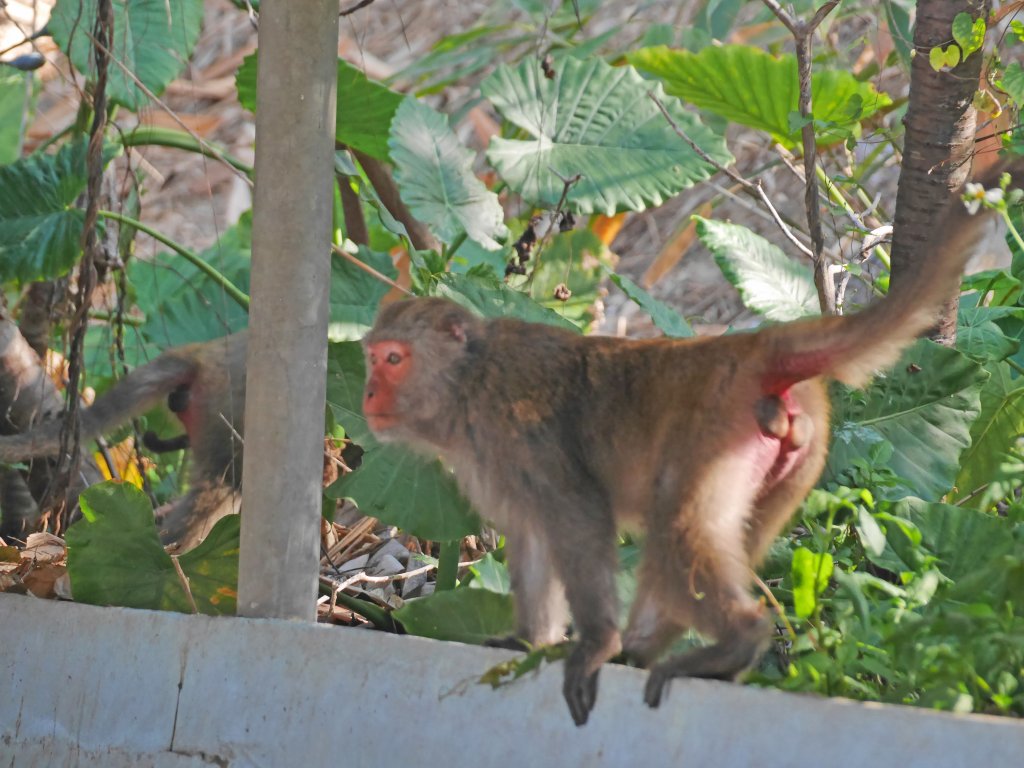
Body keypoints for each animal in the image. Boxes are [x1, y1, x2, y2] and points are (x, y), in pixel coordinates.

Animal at [360, 182, 1007, 729]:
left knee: (677, 527)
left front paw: (593, 645)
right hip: (801, 451)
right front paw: (528, 641)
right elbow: (533, 532)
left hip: (713, 430)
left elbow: (578, 515)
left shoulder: (513, 428)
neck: (467, 384)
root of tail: (744, 349)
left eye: (393, 360)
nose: (366, 394)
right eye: (372, 359)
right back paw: (651, 650)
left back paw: (729, 643)